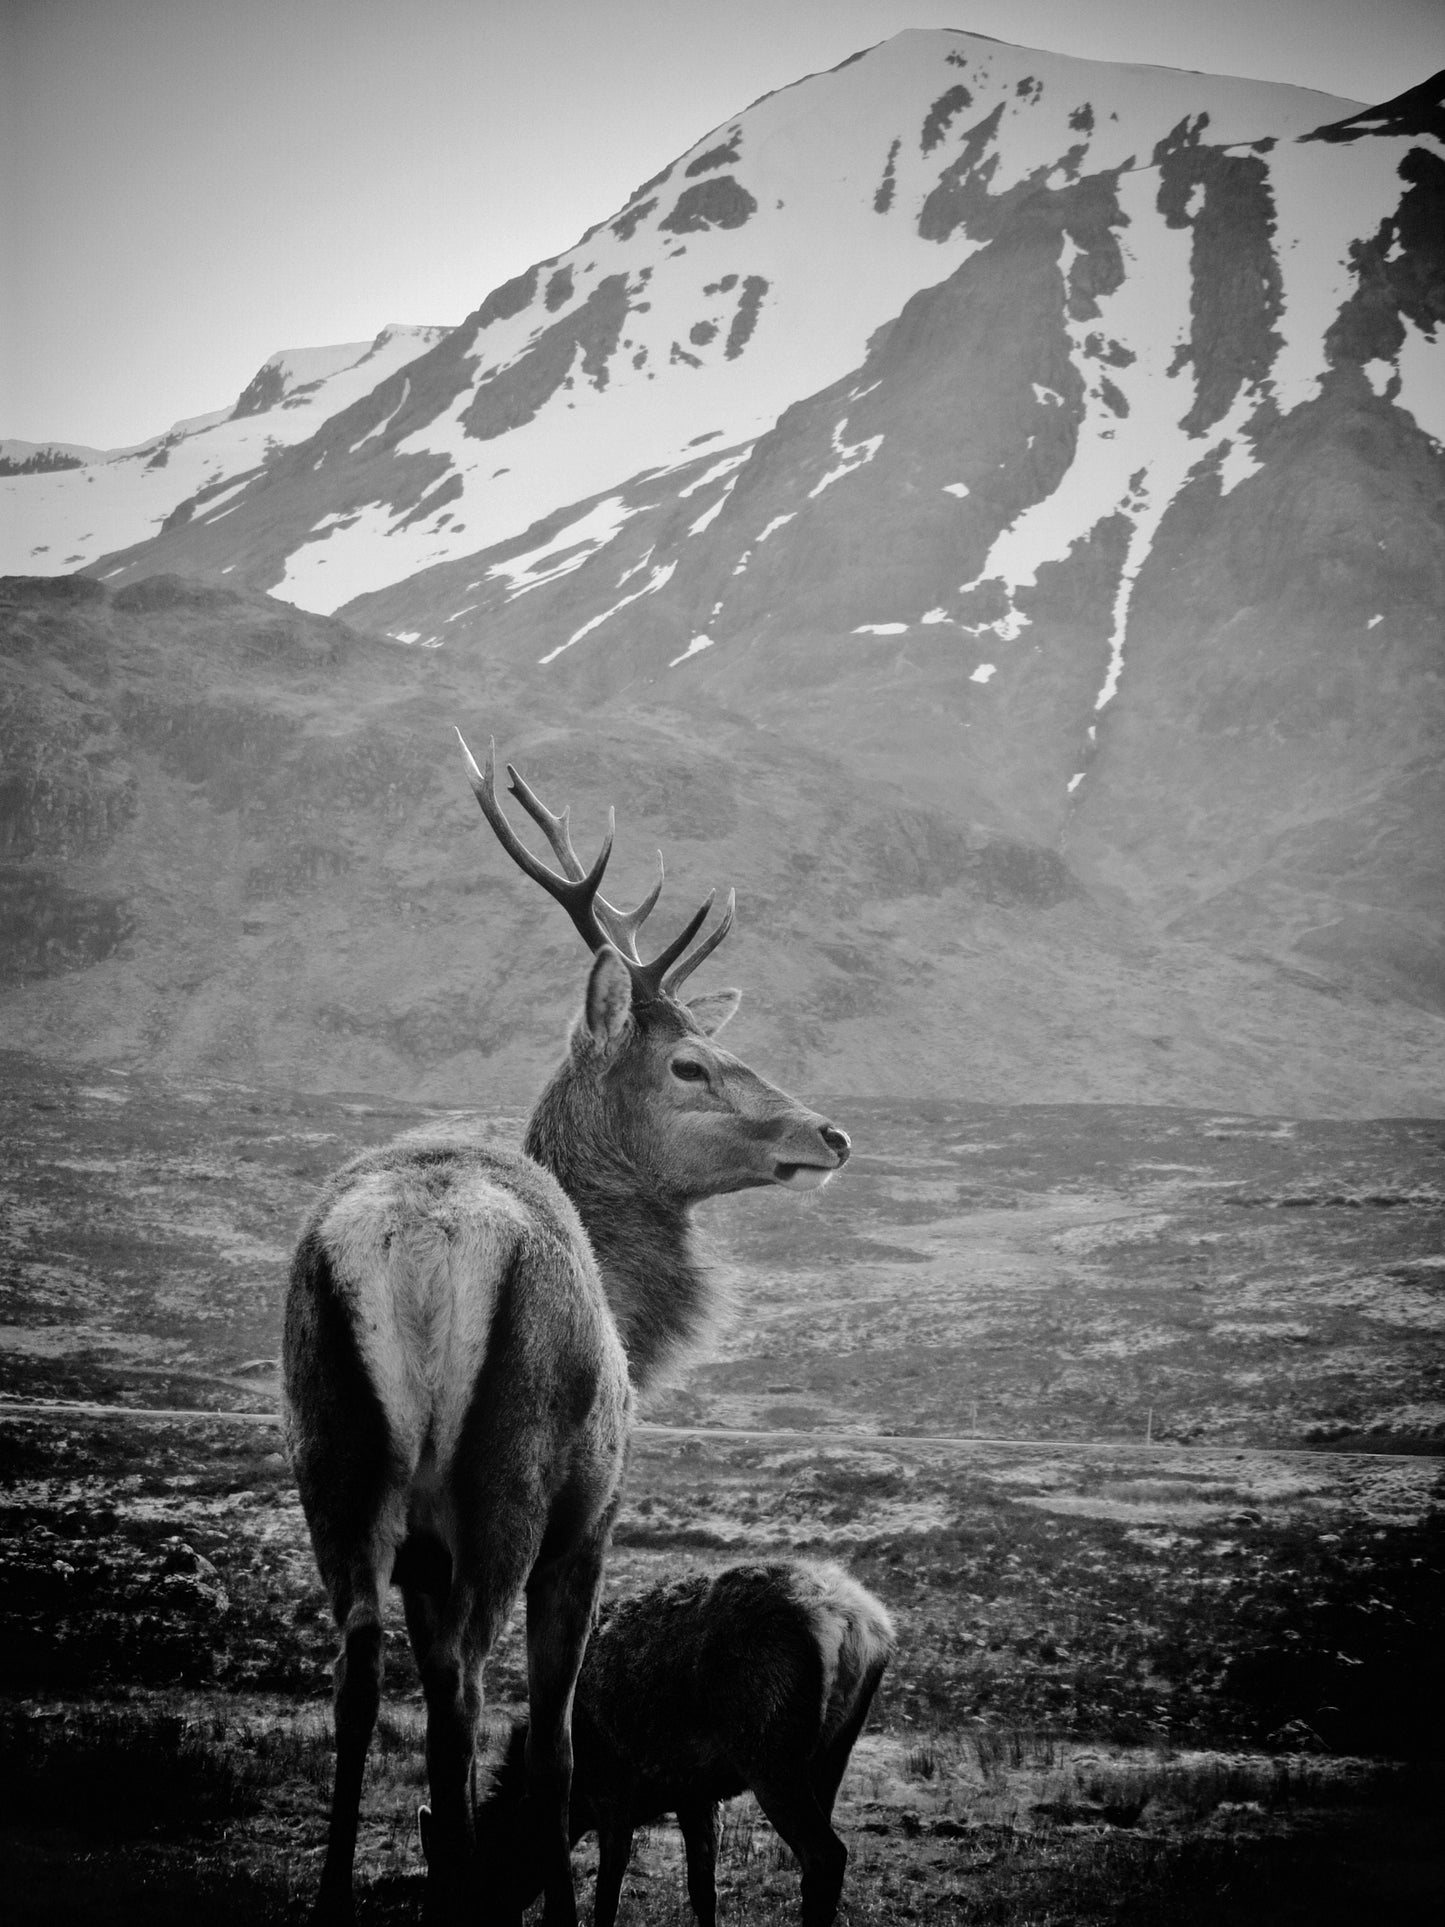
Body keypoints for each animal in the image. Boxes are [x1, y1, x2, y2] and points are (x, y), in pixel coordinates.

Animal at [466, 1557, 893, 1927]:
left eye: (490, 1863)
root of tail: (853, 1619)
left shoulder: (613, 1794)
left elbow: (607, 1895)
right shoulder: (696, 1795)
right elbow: (702, 1890)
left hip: (769, 1753)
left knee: (826, 1856)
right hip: (833, 1753)